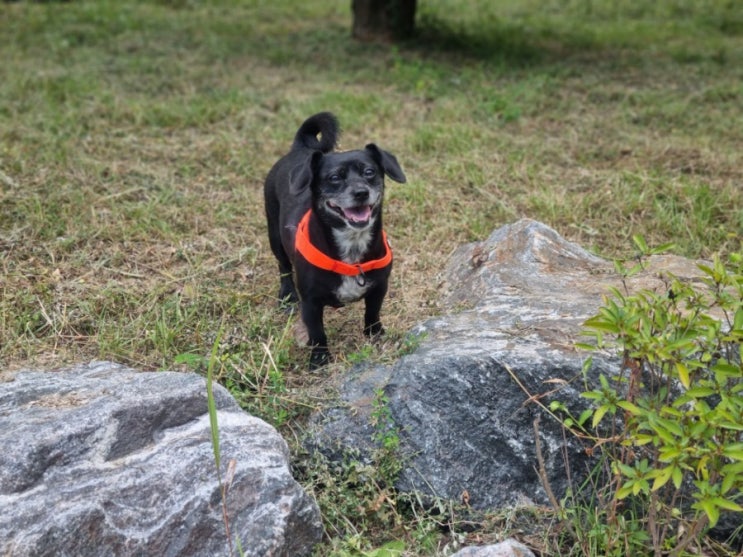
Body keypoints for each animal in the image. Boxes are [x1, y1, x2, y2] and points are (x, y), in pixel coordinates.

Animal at [264, 111, 406, 368]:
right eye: (334, 178)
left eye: (369, 172)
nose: (360, 192)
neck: (352, 244)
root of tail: (300, 148)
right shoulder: (310, 302)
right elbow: (317, 332)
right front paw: (319, 359)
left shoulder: (380, 287)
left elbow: (372, 313)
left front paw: (376, 335)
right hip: (275, 236)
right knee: (283, 267)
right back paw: (287, 297)